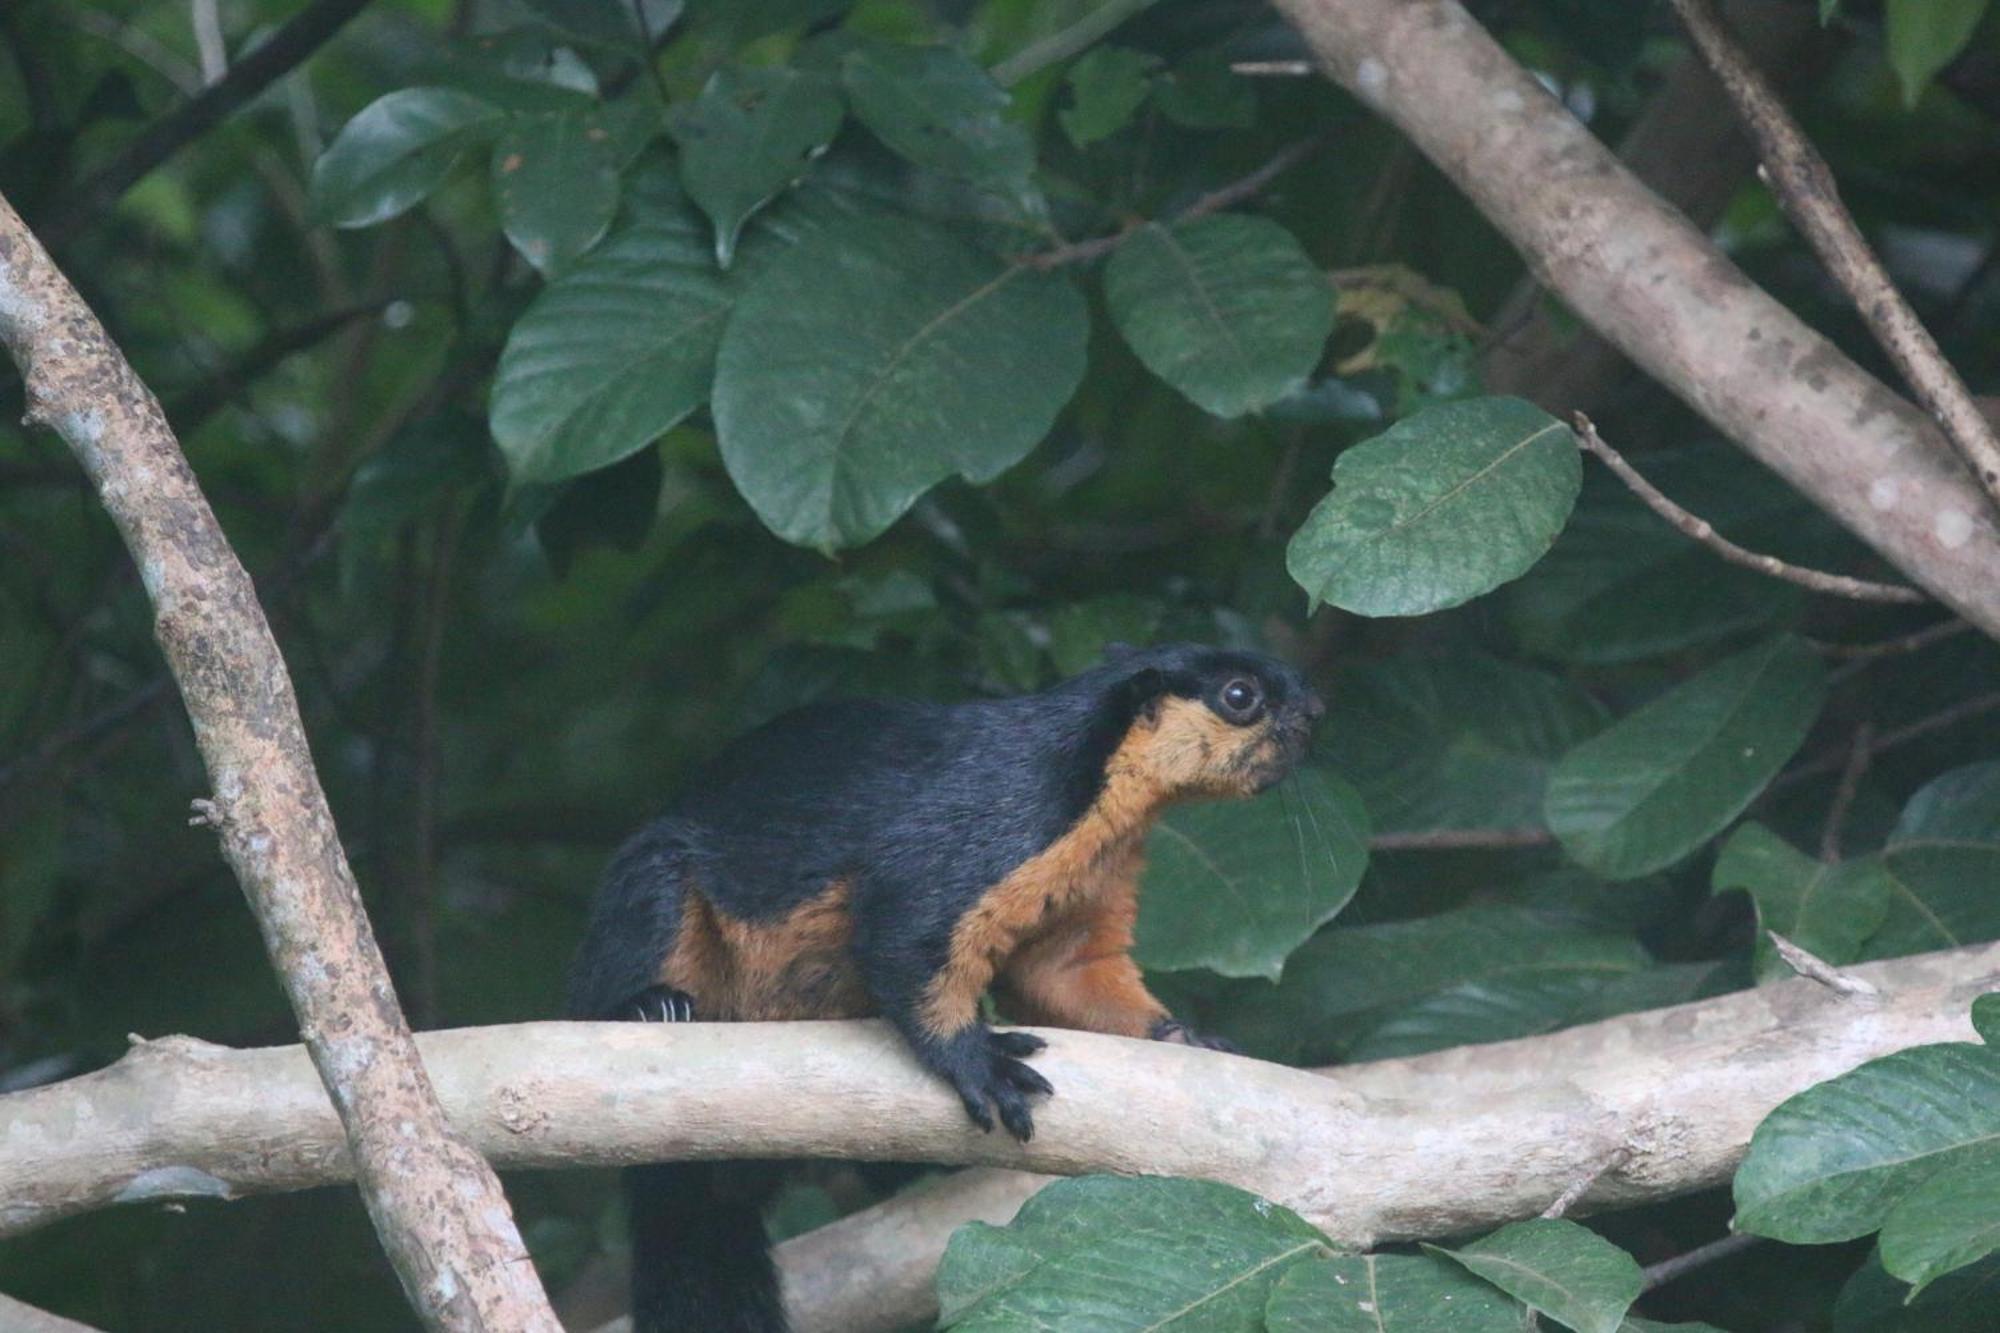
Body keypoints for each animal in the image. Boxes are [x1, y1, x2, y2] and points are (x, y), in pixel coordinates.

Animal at [564, 640, 1328, 1320]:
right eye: (1239, 695)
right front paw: (979, 1059)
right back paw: (651, 1006)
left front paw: (1187, 1036)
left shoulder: (1081, 908)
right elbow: (908, 936)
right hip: (654, 884)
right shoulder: (984, 826)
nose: (1320, 709)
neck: (1104, 799)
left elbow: (1076, 981)